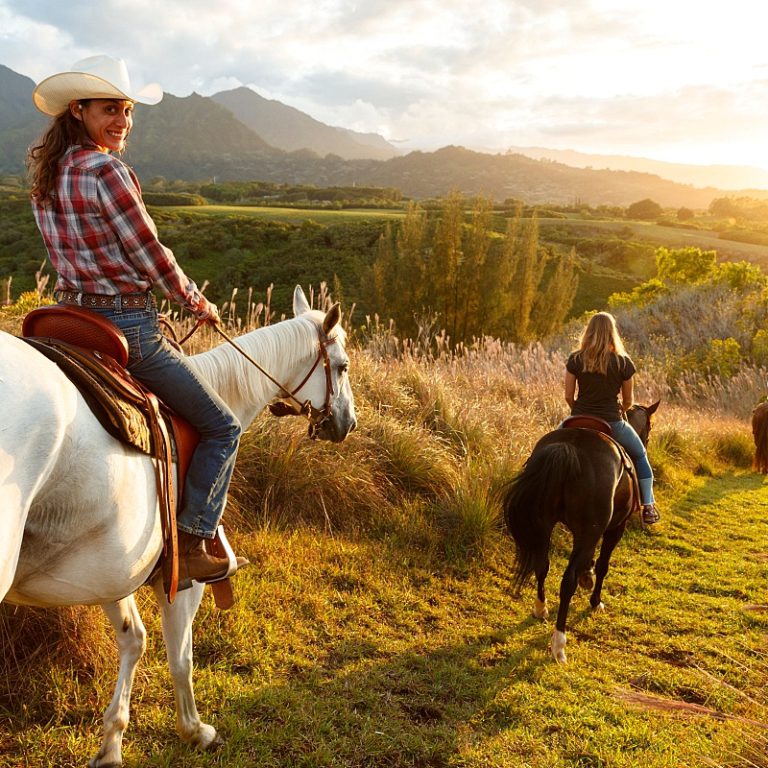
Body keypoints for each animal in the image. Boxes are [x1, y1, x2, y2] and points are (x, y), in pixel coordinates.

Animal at [0, 284, 356, 764]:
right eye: (341, 365)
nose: (347, 422)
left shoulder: (114, 570)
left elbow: (134, 639)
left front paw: (111, 743)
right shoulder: (185, 578)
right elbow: (180, 656)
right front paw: (194, 730)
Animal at [504, 404, 660, 664]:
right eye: (649, 427)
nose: (646, 442)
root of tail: (569, 447)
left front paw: (587, 575)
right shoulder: (614, 529)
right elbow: (603, 566)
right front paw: (595, 601)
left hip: (545, 525)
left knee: (542, 566)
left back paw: (541, 608)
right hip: (590, 531)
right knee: (567, 581)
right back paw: (559, 644)